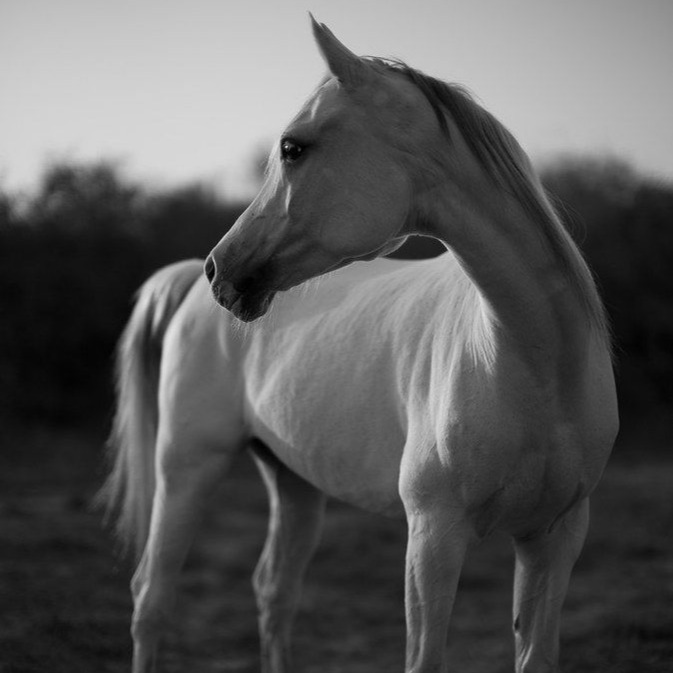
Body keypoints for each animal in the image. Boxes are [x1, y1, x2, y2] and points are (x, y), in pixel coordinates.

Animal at [101, 16, 619, 673]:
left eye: (293, 147)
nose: (225, 270)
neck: (534, 366)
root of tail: (189, 281)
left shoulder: (554, 537)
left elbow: (535, 654)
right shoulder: (434, 535)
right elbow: (424, 658)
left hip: (293, 481)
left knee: (274, 591)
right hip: (188, 466)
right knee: (153, 597)